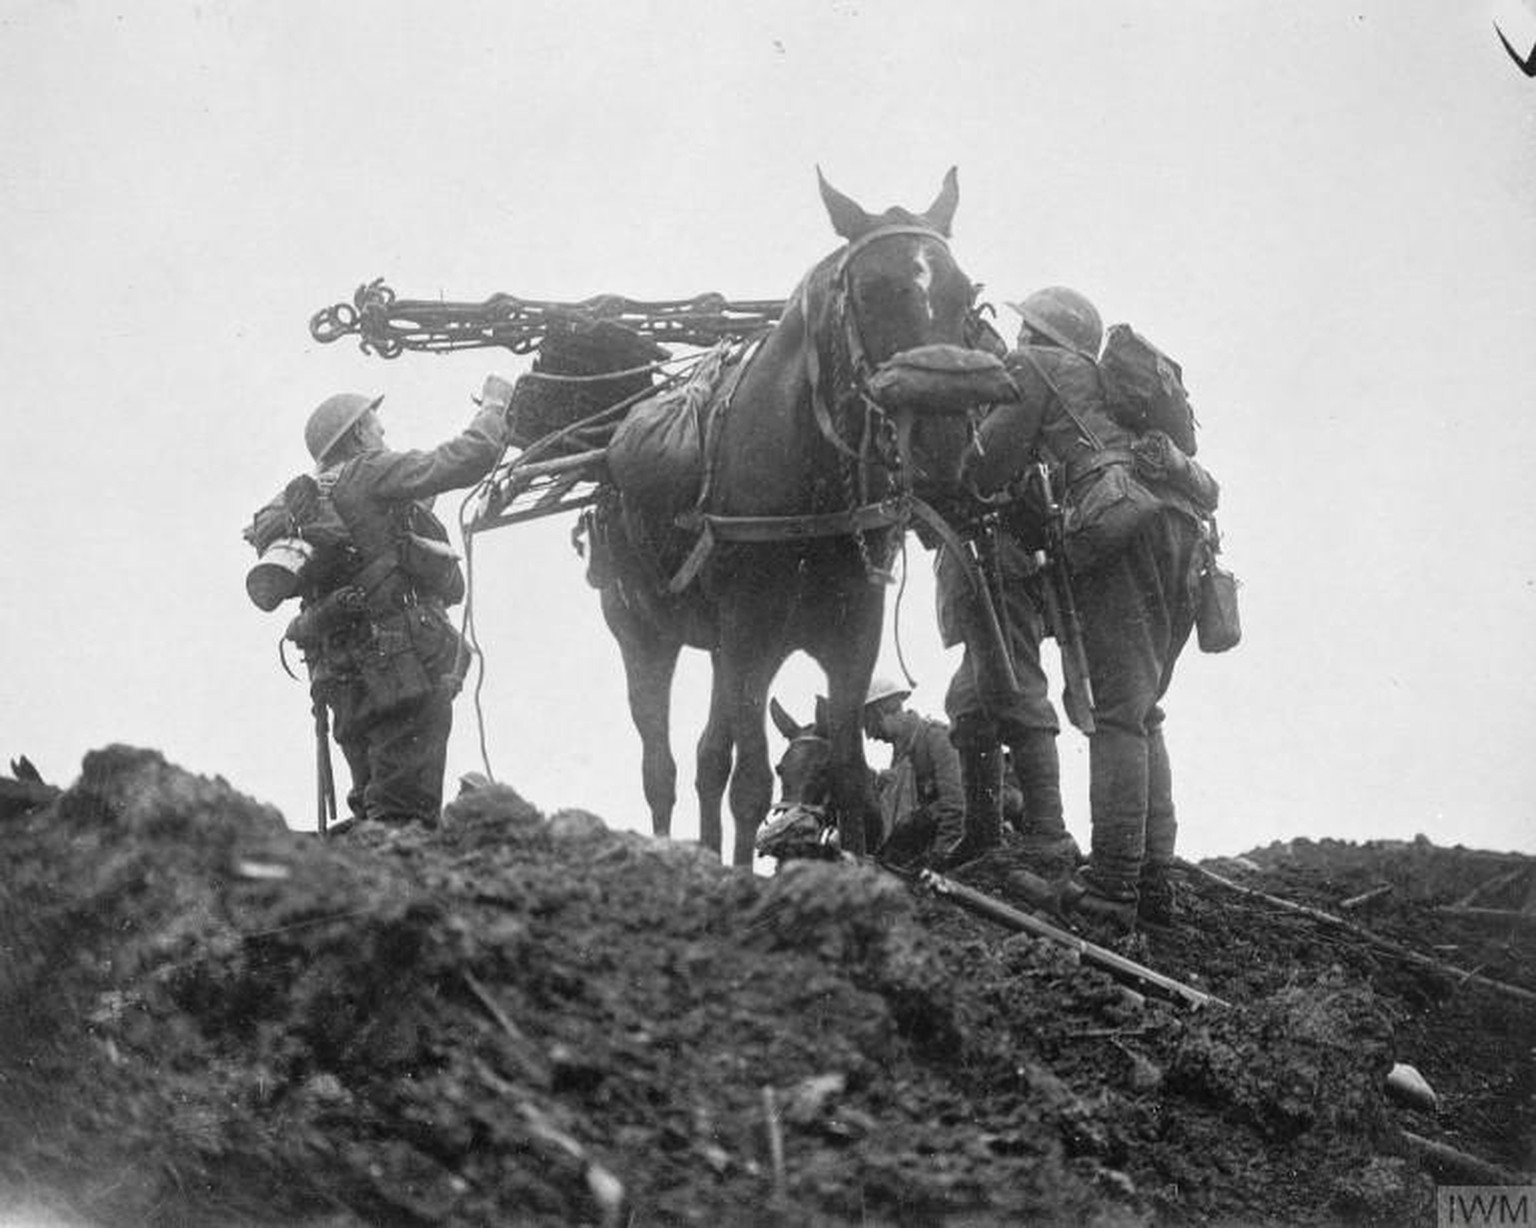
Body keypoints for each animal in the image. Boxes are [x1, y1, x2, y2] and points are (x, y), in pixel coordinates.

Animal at [586, 170, 995, 866]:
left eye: (963, 291)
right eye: (871, 291)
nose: (943, 443)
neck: (808, 491)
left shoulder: (851, 635)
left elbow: (852, 774)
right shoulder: (752, 638)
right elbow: (751, 783)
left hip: (718, 648)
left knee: (707, 759)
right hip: (644, 635)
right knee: (661, 767)